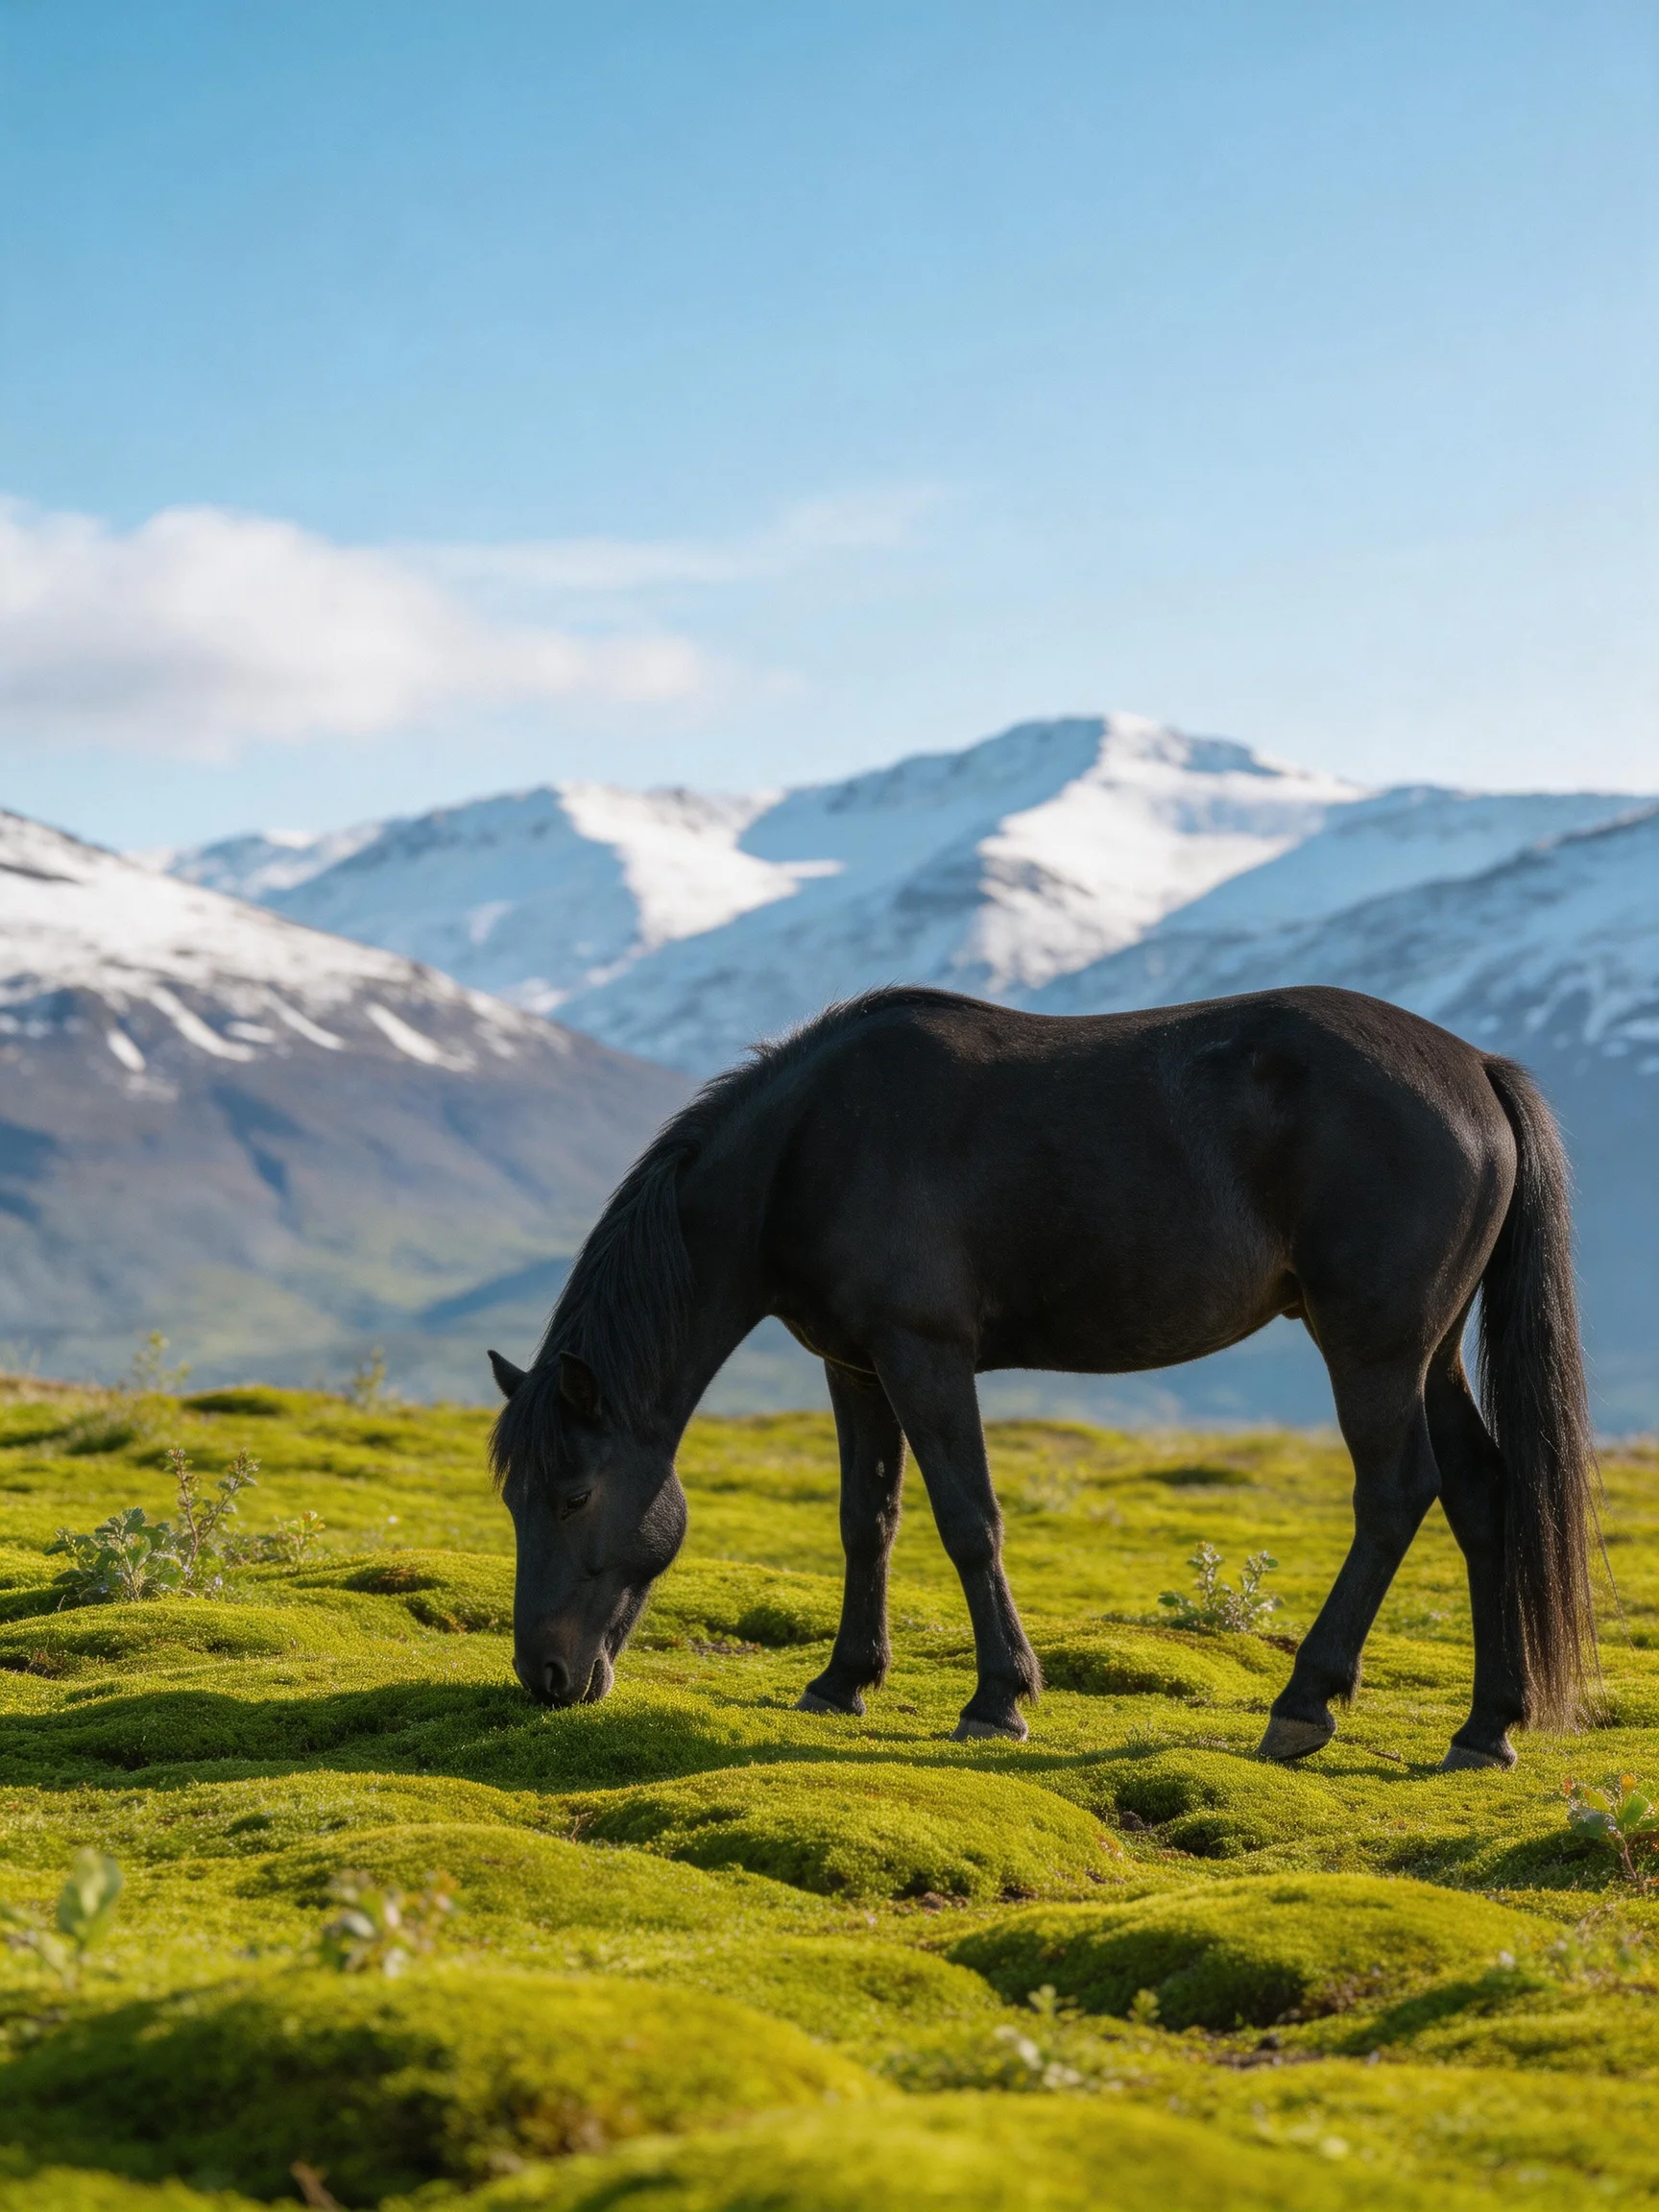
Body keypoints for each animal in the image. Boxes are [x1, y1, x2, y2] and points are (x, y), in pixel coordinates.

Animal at [488, 983, 1596, 1772]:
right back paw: (1485, 1728)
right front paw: (844, 1681)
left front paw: (999, 1700)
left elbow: (967, 1520)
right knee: (1484, 1495)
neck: (812, 1145)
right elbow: (866, 1521)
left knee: (1395, 1495)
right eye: (513, 1500)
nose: (544, 1674)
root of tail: (1475, 1068)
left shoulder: (925, 1354)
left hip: (1373, 1347)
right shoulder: (854, 1367)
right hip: (1430, 1353)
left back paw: (1302, 1705)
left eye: (574, 1494)